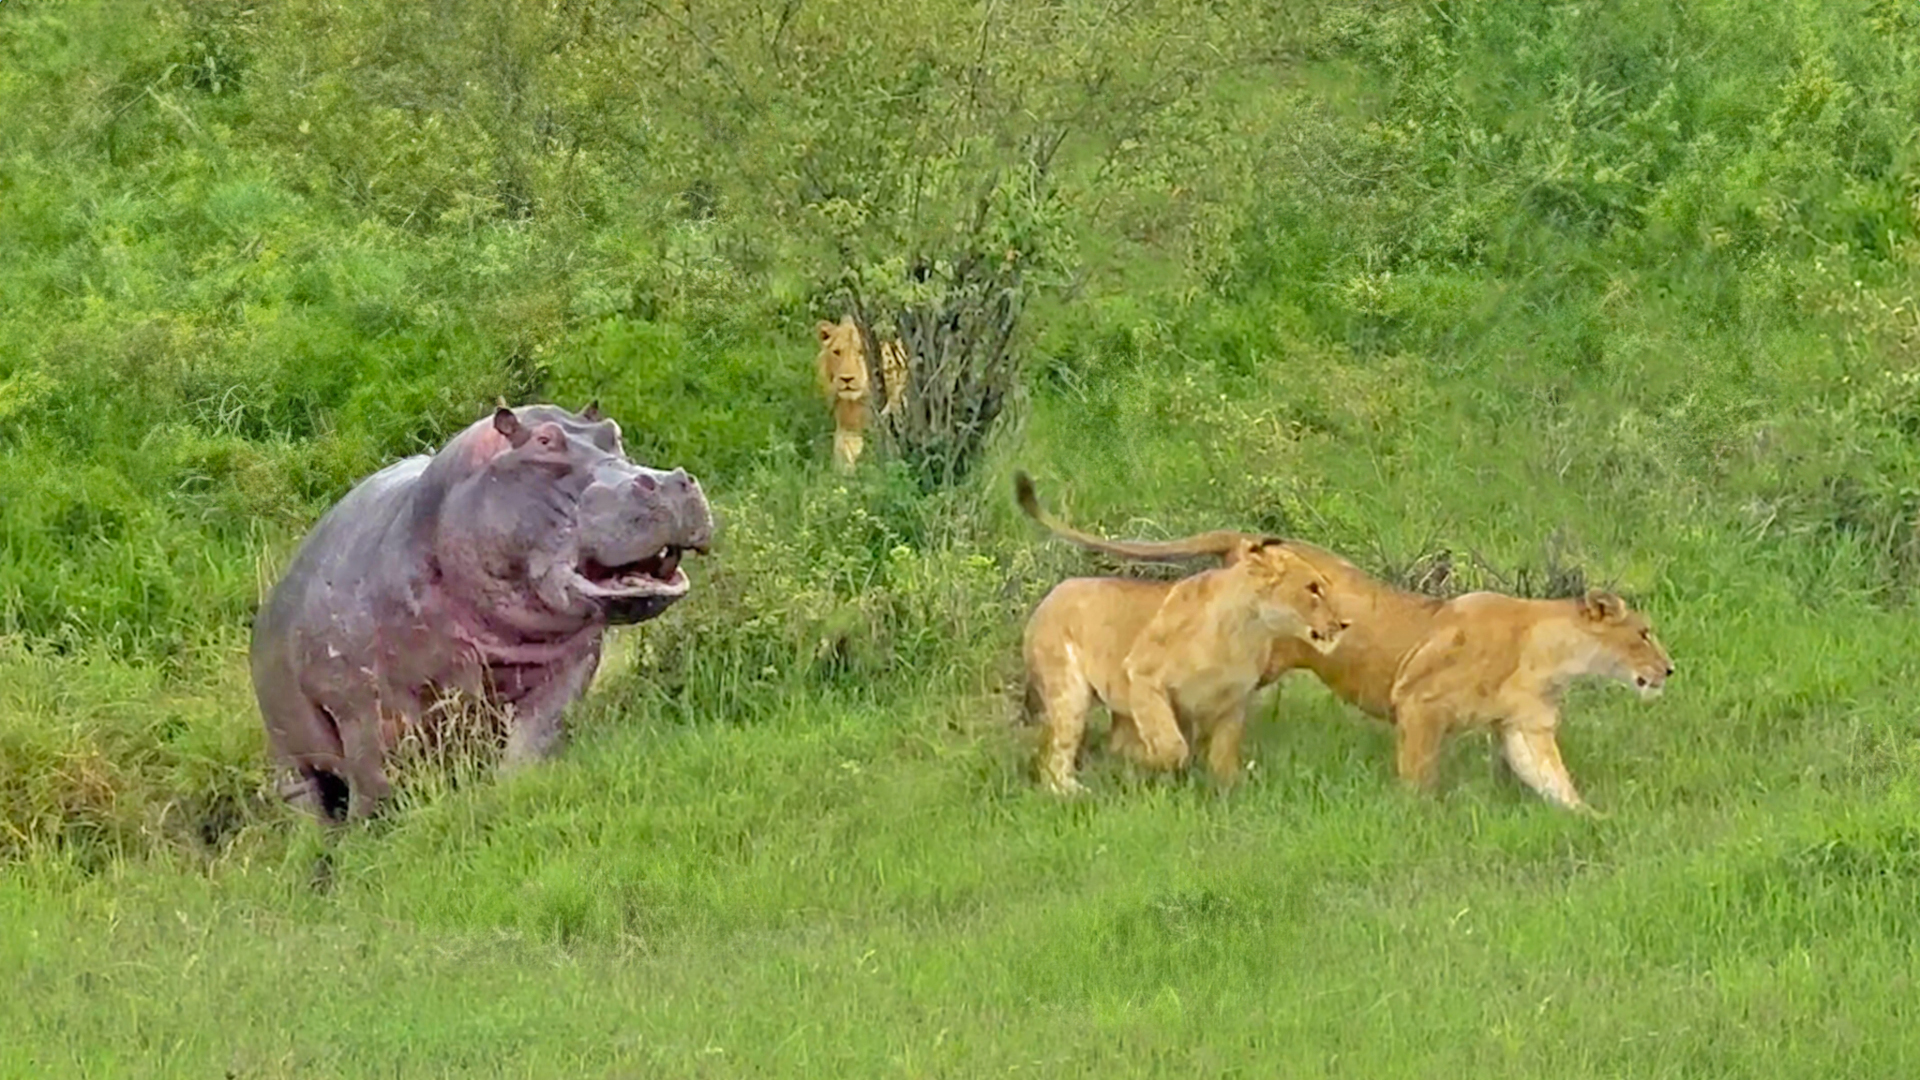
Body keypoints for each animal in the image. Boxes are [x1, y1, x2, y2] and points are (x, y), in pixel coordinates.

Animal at [250, 401, 713, 822]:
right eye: (545, 441)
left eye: (612, 431)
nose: (671, 482)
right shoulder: (360, 706)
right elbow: (373, 780)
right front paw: (370, 836)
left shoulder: (570, 666)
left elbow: (534, 739)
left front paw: (512, 791)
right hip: (288, 750)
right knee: (309, 796)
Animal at [1022, 536, 1351, 795]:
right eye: (1312, 588)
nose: (1345, 623)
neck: (1247, 632)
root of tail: (1051, 595)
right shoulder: (1142, 675)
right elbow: (1172, 746)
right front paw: (1145, 761)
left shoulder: (1233, 700)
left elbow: (1223, 756)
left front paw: (1230, 791)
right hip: (1068, 692)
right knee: (1054, 757)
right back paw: (1071, 791)